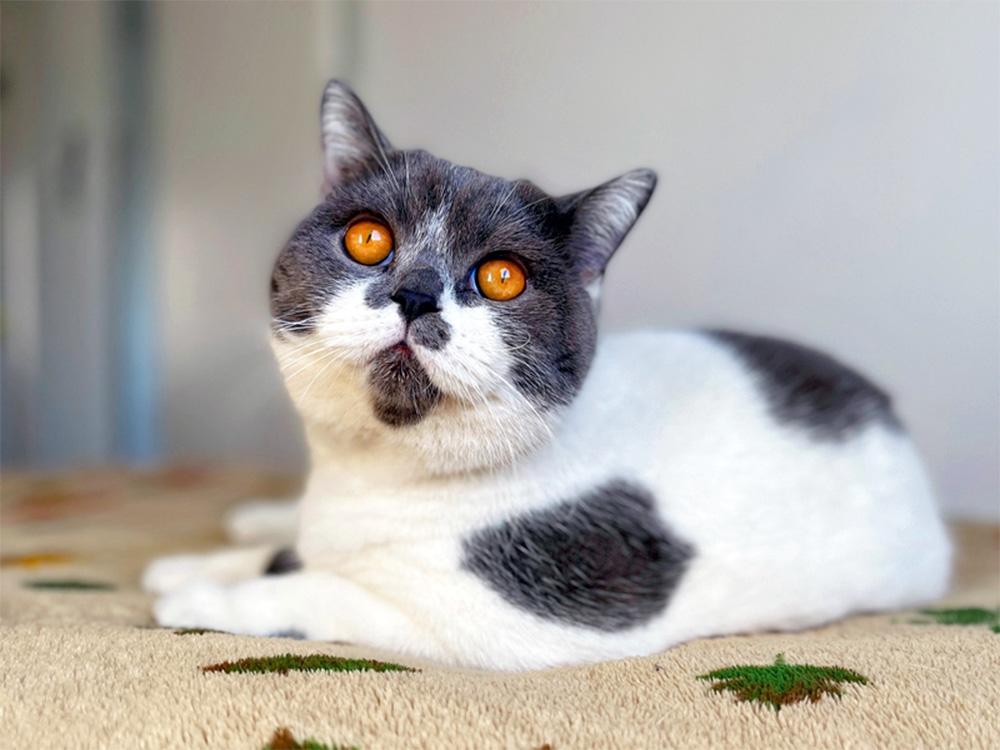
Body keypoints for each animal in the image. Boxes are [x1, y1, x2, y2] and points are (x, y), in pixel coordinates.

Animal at [145, 81, 948, 668]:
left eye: (502, 277)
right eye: (368, 238)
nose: (415, 293)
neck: (371, 476)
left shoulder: (520, 620)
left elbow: (327, 591)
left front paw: (205, 600)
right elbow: (291, 555)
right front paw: (197, 566)